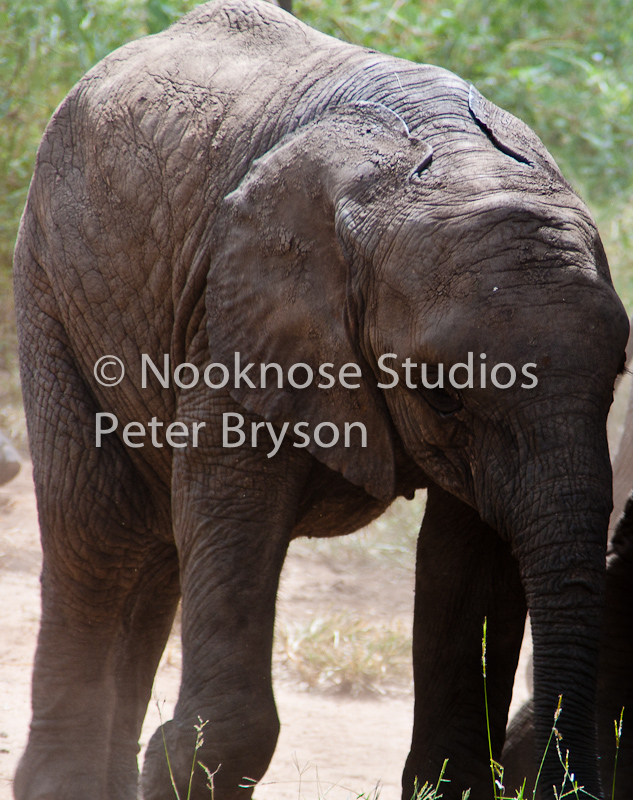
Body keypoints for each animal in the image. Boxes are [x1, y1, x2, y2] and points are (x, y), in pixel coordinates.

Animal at [12, 1, 628, 799]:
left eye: (617, 378)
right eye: (443, 397)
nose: (556, 774)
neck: (457, 161)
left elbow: (468, 557)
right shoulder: (234, 314)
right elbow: (234, 511)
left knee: (152, 555)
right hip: (52, 280)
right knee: (98, 532)